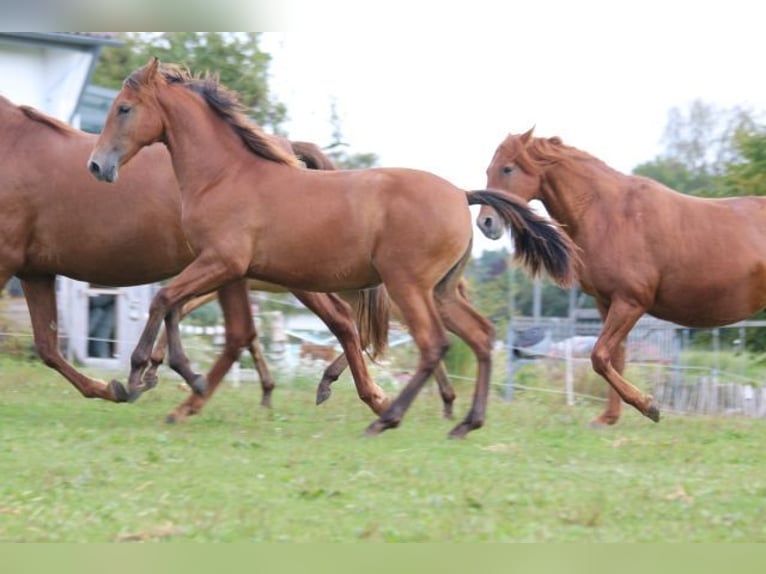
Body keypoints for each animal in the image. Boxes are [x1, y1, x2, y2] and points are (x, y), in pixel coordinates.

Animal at [0, 95, 392, 424]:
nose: (98, 167)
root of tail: (288, 149)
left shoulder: (8, 261)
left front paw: (136, 380)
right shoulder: (35, 272)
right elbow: (48, 348)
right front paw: (116, 387)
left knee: (289, 328)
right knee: (320, 324)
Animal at [85, 59, 576, 440]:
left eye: (124, 108)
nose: (97, 165)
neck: (226, 174)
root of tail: (461, 194)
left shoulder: (222, 263)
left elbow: (168, 302)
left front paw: (141, 374)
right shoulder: (225, 270)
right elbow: (180, 309)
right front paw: (178, 376)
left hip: (405, 286)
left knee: (431, 344)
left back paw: (388, 418)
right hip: (439, 291)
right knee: (479, 336)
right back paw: (464, 421)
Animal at [480, 130, 766, 428]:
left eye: (507, 169)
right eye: (489, 170)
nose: (485, 223)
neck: (610, 214)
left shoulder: (631, 302)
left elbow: (599, 356)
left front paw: (649, 406)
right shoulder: (606, 302)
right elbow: (614, 359)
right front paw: (608, 418)